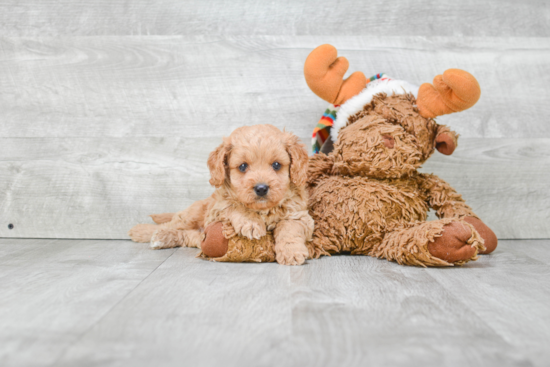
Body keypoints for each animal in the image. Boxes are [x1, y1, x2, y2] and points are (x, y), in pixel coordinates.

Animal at [126, 125, 312, 266]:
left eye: (276, 165)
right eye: (243, 166)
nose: (261, 188)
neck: (261, 209)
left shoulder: (299, 216)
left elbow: (289, 229)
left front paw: (291, 252)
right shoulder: (217, 210)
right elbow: (234, 205)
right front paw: (251, 222)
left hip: (197, 236)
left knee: (186, 236)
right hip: (191, 215)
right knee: (170, 225)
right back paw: (147, 232)